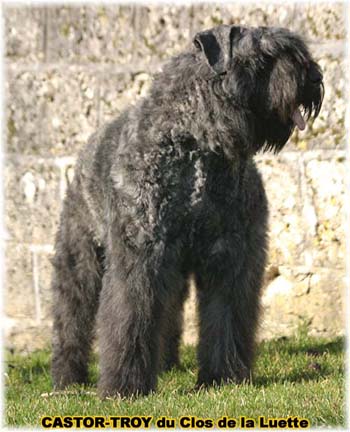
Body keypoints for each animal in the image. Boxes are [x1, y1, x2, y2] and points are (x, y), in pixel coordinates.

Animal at [50, 22, 324, 394]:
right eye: (264, 57)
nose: (314, 77)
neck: (198, 146)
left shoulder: (230, 255)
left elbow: (225, 316)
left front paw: (224, 377)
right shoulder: (140, 255)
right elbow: (129, 317)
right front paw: (125, 387)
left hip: (173, 269)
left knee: (167, 313)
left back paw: (166, 364)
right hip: (81, 260)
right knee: (71, 318)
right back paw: (67, 378)